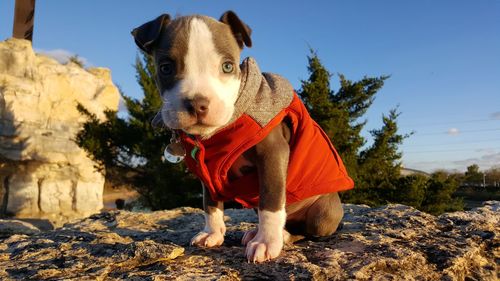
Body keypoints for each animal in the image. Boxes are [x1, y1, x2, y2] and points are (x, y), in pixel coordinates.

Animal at [131, 9, 354, 262]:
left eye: (228, 66)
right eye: (166, 68)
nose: (197, 104)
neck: (213, 135)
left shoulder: (273, 153)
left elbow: (271, 200)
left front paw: (267, 242)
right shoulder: (207, 168)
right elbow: (210, 202)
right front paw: (213, 233)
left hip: (322, 215)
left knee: (305, 230)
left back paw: (282, 235)